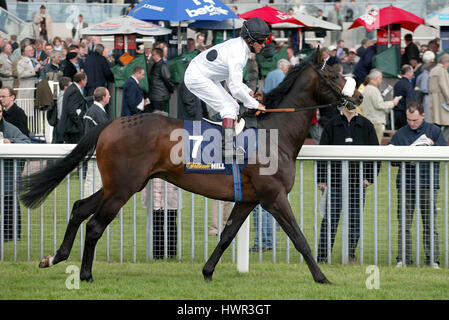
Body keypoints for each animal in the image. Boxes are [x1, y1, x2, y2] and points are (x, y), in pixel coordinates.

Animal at [20, 50, 360, 284]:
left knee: (79, 207)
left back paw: (55, 257)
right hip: (122, 188)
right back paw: (86, 274)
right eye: (334, 76)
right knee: (94, 225)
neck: (274, 134)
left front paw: (207, 272)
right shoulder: (274, 197)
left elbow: (227, 236)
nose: (356, 97)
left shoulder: (248, 200)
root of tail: (111, 123)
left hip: (119, 184)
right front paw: (322, 278)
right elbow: (300, 238)